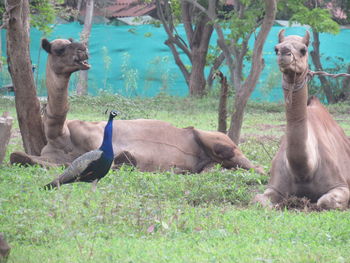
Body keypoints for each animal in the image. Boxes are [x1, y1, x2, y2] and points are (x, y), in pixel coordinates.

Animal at [9, 37, 262, 175]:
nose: (83, 49)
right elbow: (17, 156)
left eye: (72, 44)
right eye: (60, 49)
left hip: (218, 140)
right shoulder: (54, 157)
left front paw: (127, 161)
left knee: (251, 164)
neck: (61, 135)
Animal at [253, 29, 350, 210]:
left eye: (303, 49)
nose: (284, 53)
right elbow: (258, 200)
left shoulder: (341, 185)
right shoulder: (274, 186)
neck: (304, 170)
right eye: (276, 48)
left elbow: (325, 201)